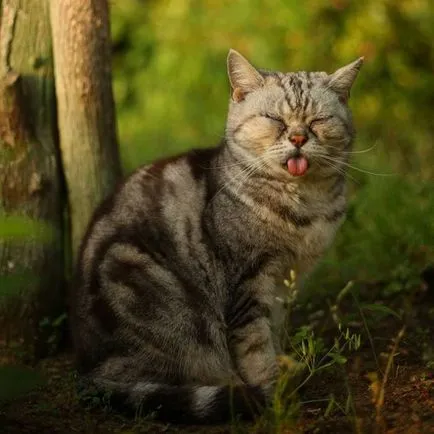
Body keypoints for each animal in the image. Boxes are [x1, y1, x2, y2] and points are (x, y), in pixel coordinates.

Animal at [71, 48, 362, 424]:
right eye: (275, 120)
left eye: (317, 121)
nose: (298, 138)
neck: (304, 204)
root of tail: (88, 372)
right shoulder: (248, 281)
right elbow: (255, 345)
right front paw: (272, 393)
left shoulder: (283, 282)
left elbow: (275, 330)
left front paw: (283, 371)